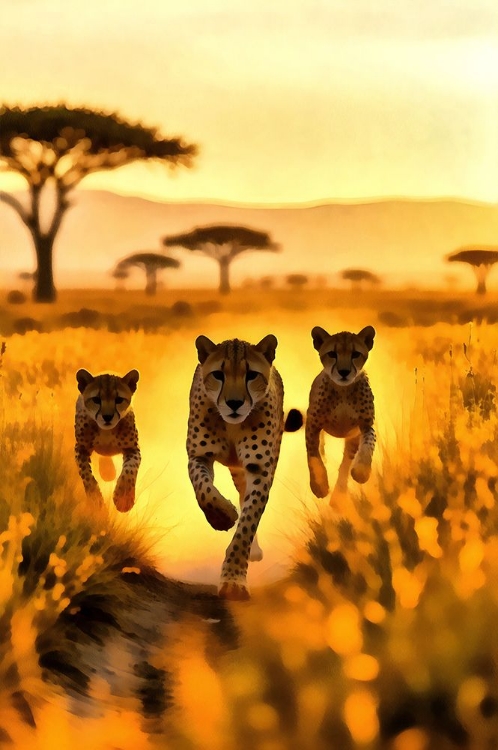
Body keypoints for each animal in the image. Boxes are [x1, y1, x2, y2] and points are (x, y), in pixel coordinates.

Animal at [75, 369, 141, 512]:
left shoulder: (132, 448)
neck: (106, 431)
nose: (107, 416)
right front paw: (96, 500)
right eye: (96, 399)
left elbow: (130, 468)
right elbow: (86, 473)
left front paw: (123, 498)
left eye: (119, 399)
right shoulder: (80, 447)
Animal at [187, 333, 287, 601]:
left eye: (251, 375)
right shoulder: (198, 456)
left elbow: (247, 525)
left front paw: (233, 580)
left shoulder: (260, 469)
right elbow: (204, 491)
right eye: (218, 375)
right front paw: (222, 517)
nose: (234, 403)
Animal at [305, 325, 376, 502]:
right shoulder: (312, 424)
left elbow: (368, 444)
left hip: (352, 440)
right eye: (332, 353)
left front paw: (362, 471)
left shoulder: (365, 426)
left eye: (355, 354)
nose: (344, 371)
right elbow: (313, 454)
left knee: (345, 464)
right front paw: (319, 486)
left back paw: (338, 497)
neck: (343, 390)